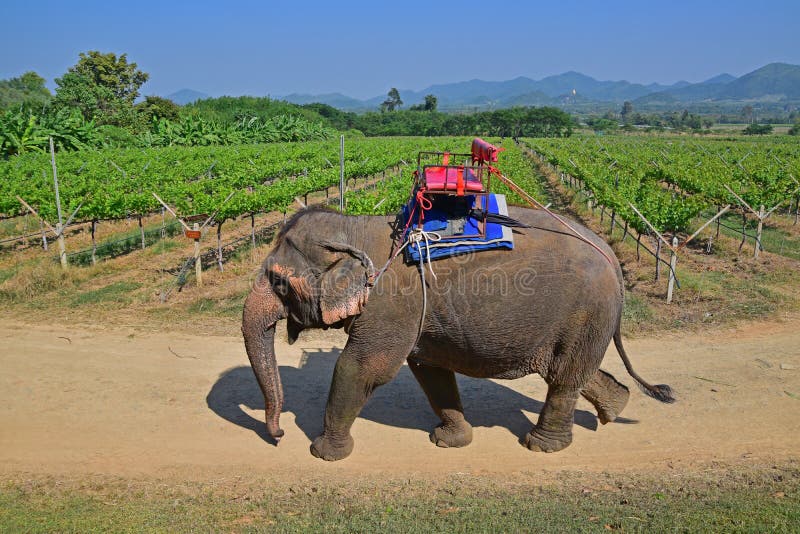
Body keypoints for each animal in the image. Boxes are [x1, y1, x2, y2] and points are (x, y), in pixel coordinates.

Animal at [241, 207, 672, 462]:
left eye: (278, 281)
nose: (277, 434)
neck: (357, 226)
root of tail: (611, 257)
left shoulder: (391, 304)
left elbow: (361, 367)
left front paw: (323, 453)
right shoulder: (419, 316)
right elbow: (429, 368)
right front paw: (450, 441)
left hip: (586, 313)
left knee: (564, 378)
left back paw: (542, 446)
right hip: (586, 322)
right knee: (574, 372)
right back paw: (615, 409)